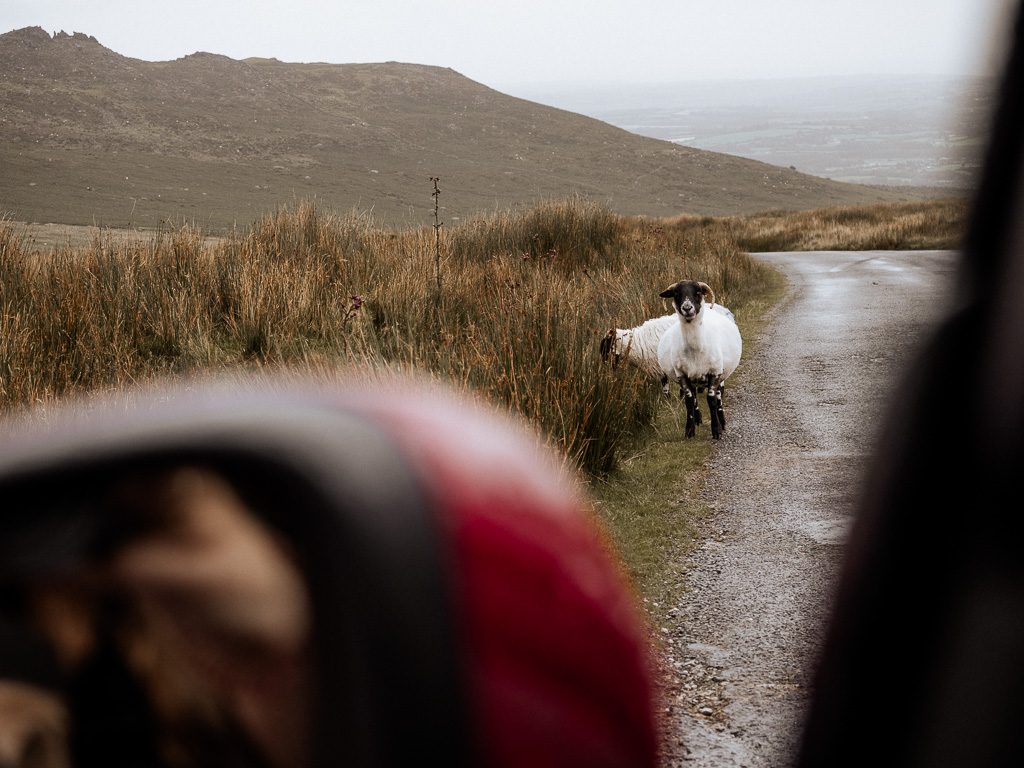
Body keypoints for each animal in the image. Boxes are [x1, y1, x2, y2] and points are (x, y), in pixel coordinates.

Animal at [655, 280, 745, 438]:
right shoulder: (682, 374)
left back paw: (722, 421)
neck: (696, 348)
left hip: (721, 373)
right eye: (676, 293)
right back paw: (698, 420)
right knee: (695, 397)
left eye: (698, 292)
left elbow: (712, 399)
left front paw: (716, 430)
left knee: (719, 396)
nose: (687, 308)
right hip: (694, 377)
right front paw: (690, 430)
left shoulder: (715, 372)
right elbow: (689, 400)